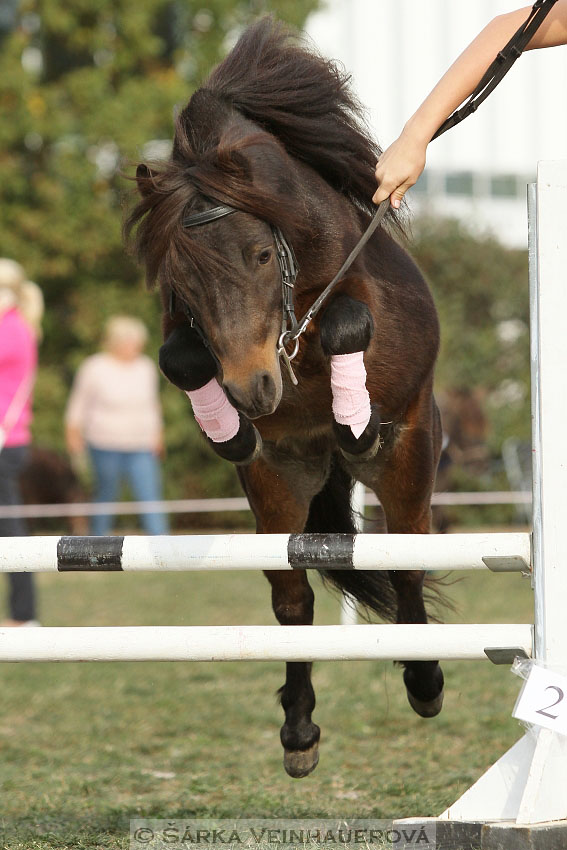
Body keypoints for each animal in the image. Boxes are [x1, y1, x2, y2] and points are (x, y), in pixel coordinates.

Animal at [126, 16, 446, 780]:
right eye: (182, 277)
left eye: (263, 256)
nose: (253, 391)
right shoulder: (182, 329)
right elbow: (179, 356)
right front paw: (228, 430)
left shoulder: (358, 297)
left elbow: (348, 318)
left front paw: (354, 414)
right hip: (277, 489)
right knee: (293, 600)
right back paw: (298, 733)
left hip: (408, 462)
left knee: (408, 564)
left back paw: (424, 680)